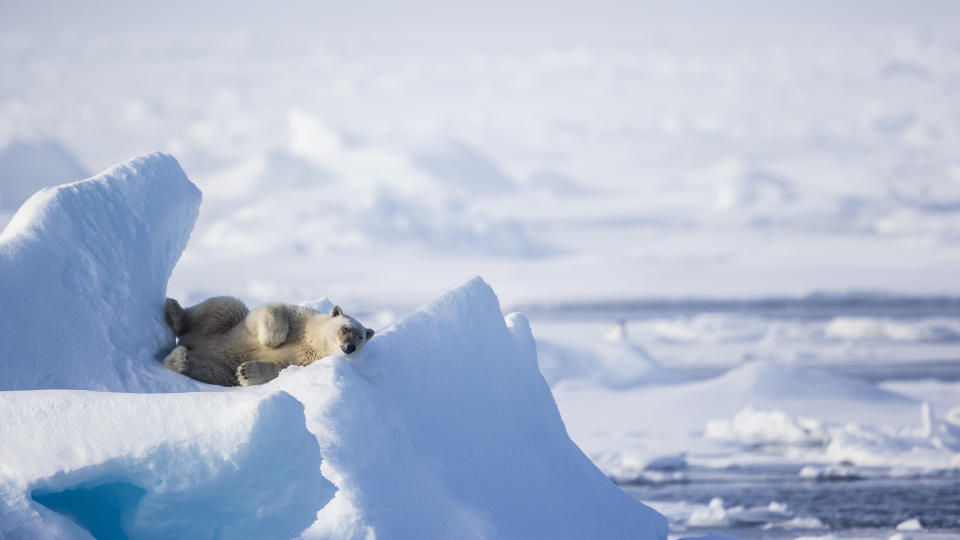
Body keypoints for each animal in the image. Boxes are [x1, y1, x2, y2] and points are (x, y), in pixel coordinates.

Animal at [163, 296, 374, 388]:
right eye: (346, 328)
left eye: (361, 337)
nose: (350, 347)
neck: (313, 341)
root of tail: (191, 342)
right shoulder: (301, 318)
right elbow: (273, 310)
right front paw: (272, 340)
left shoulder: (305, 361)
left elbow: (279, 368)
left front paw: (246, 372)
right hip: (225, 325)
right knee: (224, 305)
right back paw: (175, 311)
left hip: (221, 368)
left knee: (211, 371)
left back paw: (178, 359)